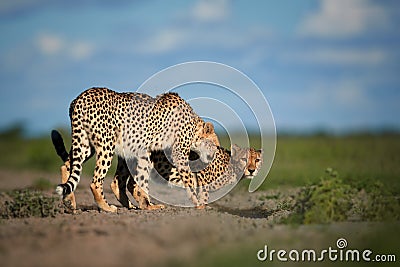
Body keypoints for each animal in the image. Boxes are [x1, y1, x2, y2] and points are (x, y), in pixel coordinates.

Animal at [54, 88, 217, 214]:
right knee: (96, 181)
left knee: (68, 166)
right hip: (106, 145)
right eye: (215, 145)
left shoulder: (145, 152)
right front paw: (198, 203)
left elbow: (139, 180)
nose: (214, 155)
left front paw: (146, 204)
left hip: (85, 145)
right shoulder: (176, 154)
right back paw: (107, 207)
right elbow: (188, 179)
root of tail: (82, 96)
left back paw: (70, 203)